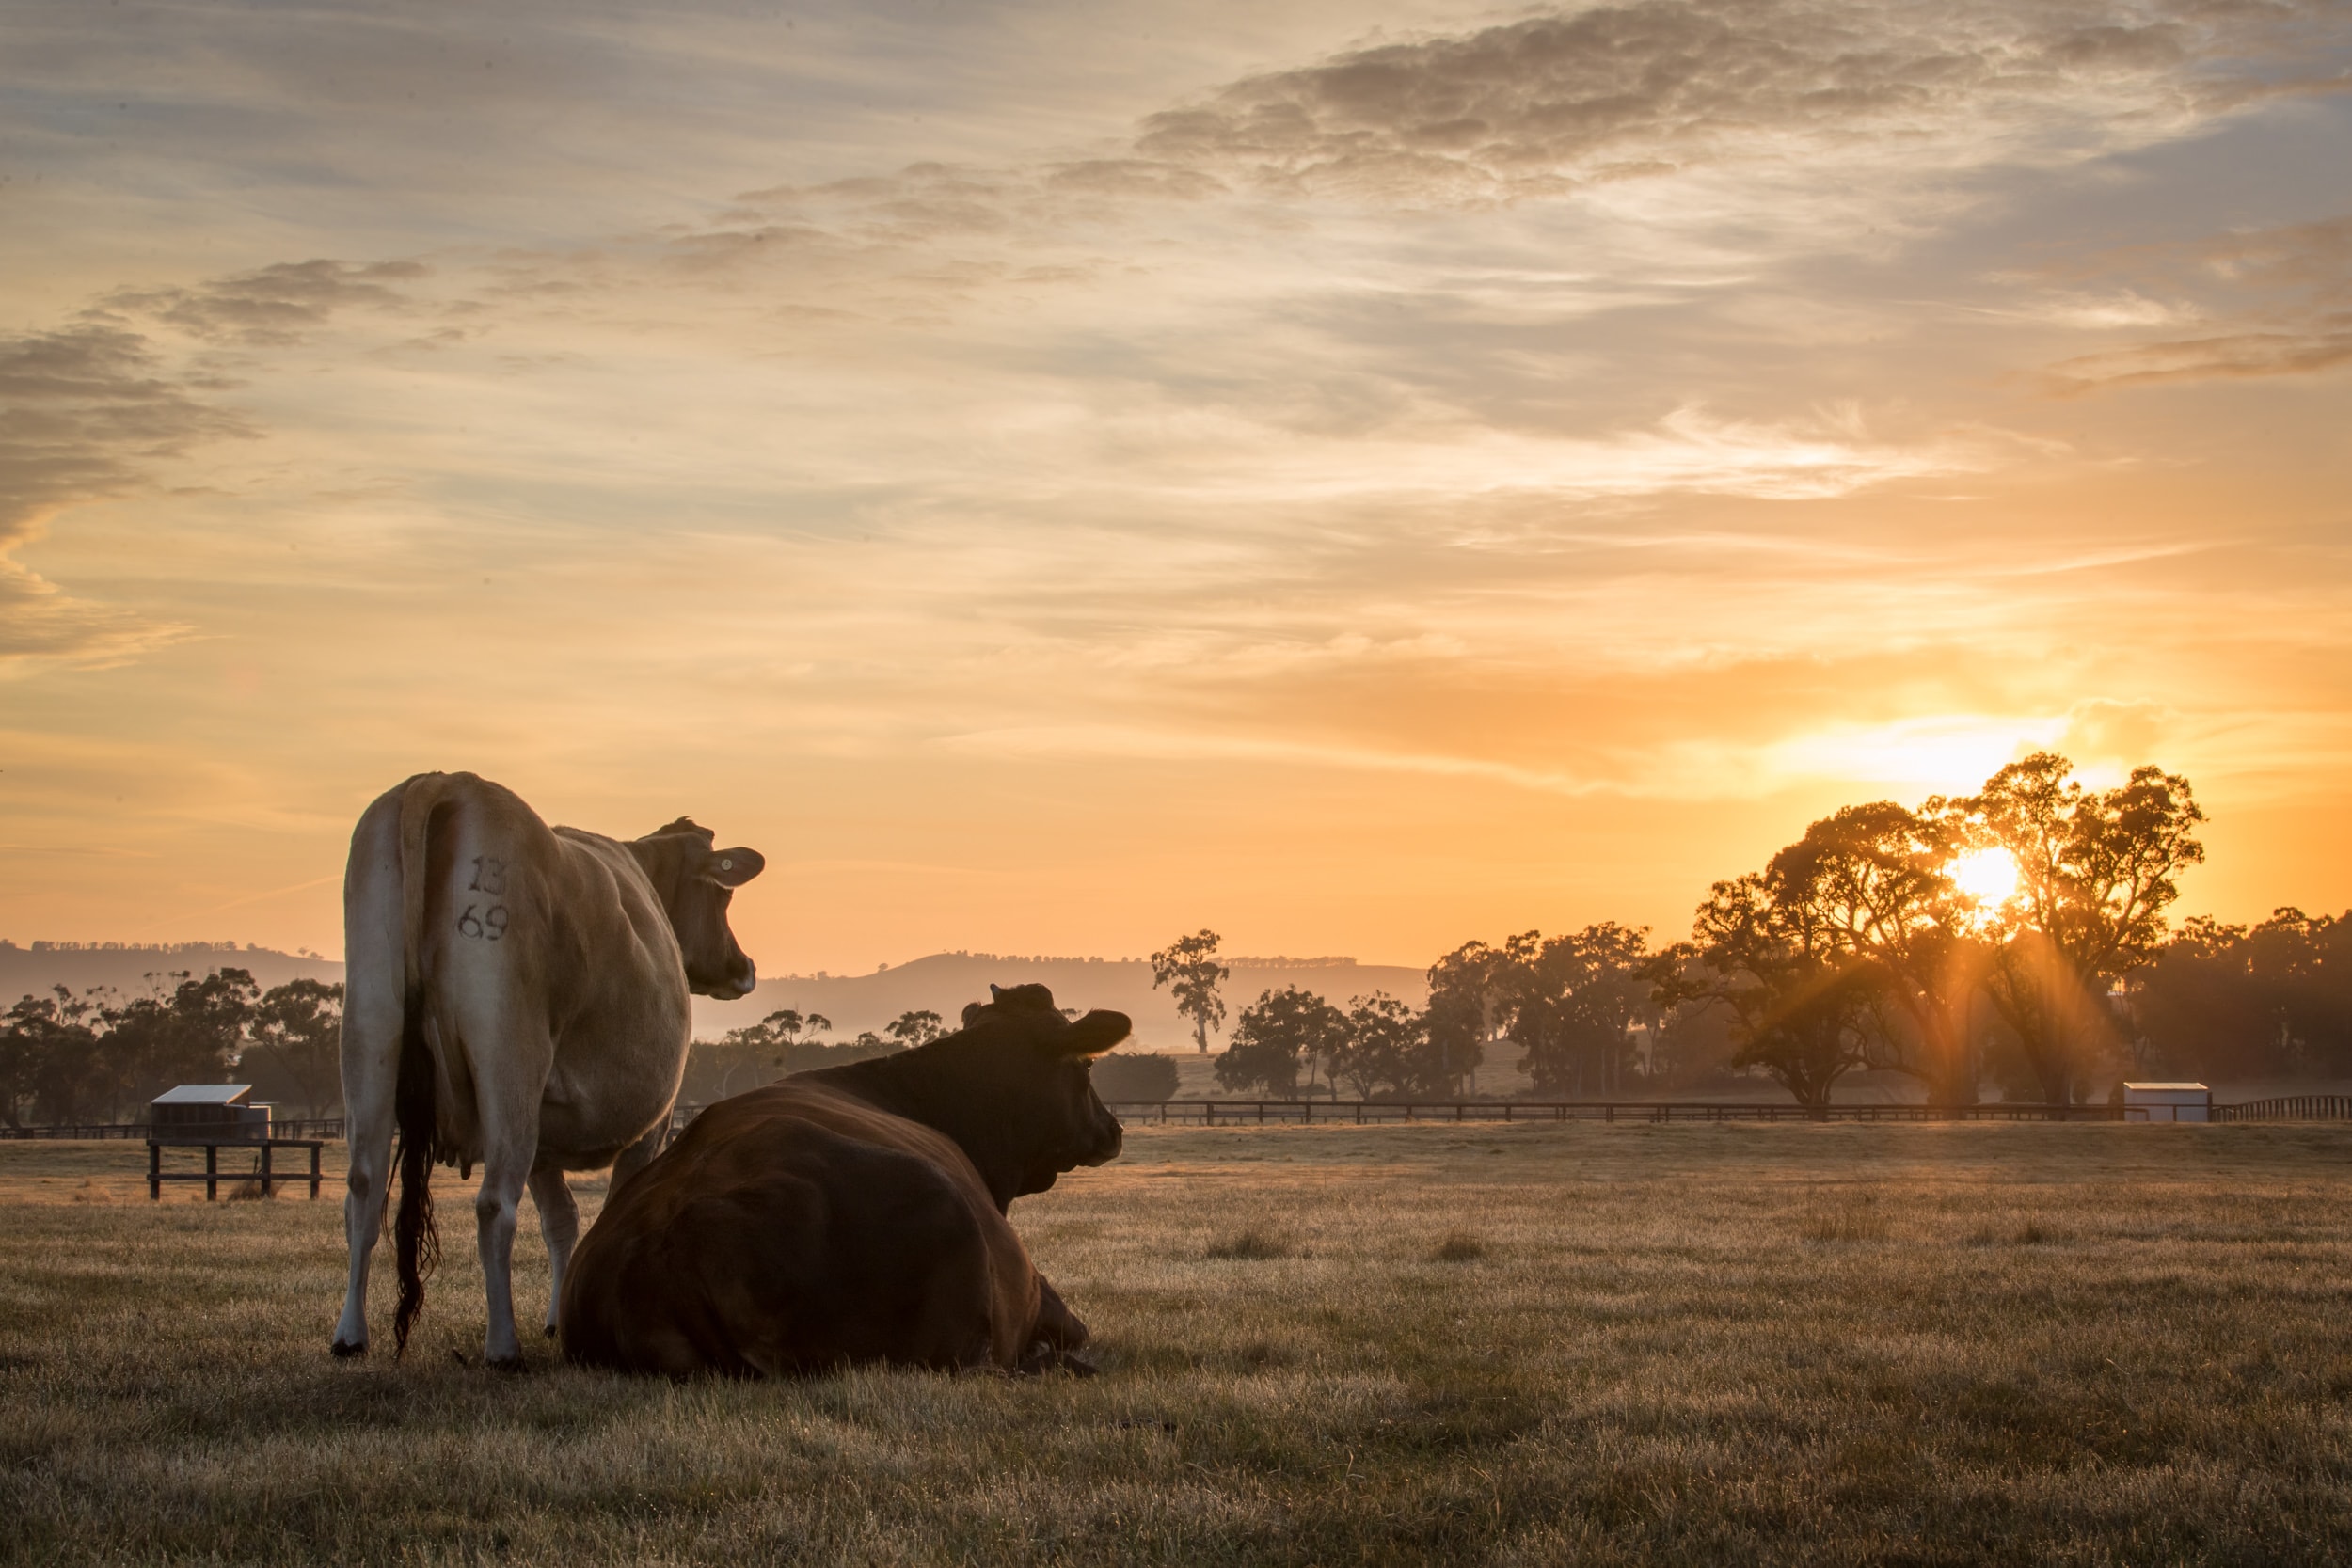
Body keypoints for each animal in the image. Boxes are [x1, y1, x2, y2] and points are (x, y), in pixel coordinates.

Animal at [330, 771, 765, 1368]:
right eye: (723, 894)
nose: (746, 968)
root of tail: (447, 782)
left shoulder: (545, 1139)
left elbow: (561, 1221)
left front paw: (560, 1318)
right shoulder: (652, 1125)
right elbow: (605, 1211)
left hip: (369, 1035)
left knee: (364, 1191)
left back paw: (350, 1335)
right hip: (510, 1055)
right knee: (494, 1206)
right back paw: (502, 1347)